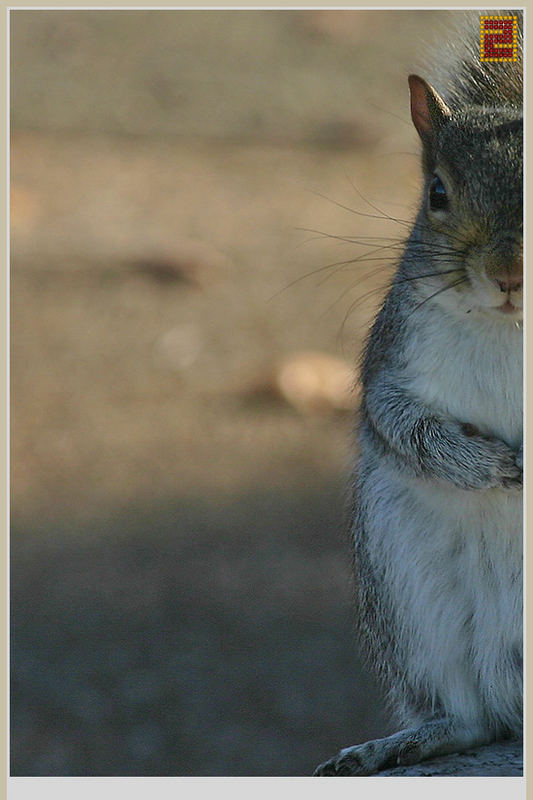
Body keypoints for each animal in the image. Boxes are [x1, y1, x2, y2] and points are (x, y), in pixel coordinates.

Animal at [314, 9, 520, 780]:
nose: (508, 273)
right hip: (409, 597)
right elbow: (395, 422)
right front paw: (487, 466)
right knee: (473, 716)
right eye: (437, 194)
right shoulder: (392, 358)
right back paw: (403, 743)